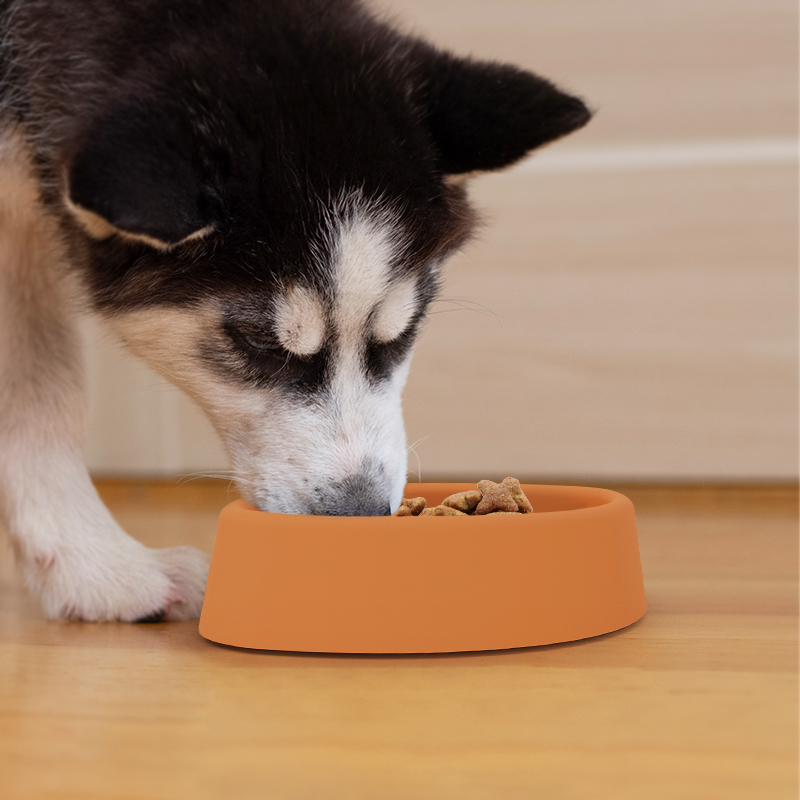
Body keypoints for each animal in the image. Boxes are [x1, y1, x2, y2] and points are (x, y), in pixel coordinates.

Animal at [0, 0, 588, 620]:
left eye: (405, 329)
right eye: (258, 341)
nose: (360, 516)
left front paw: (88, 567)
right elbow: (42, 391)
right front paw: (104, 567)